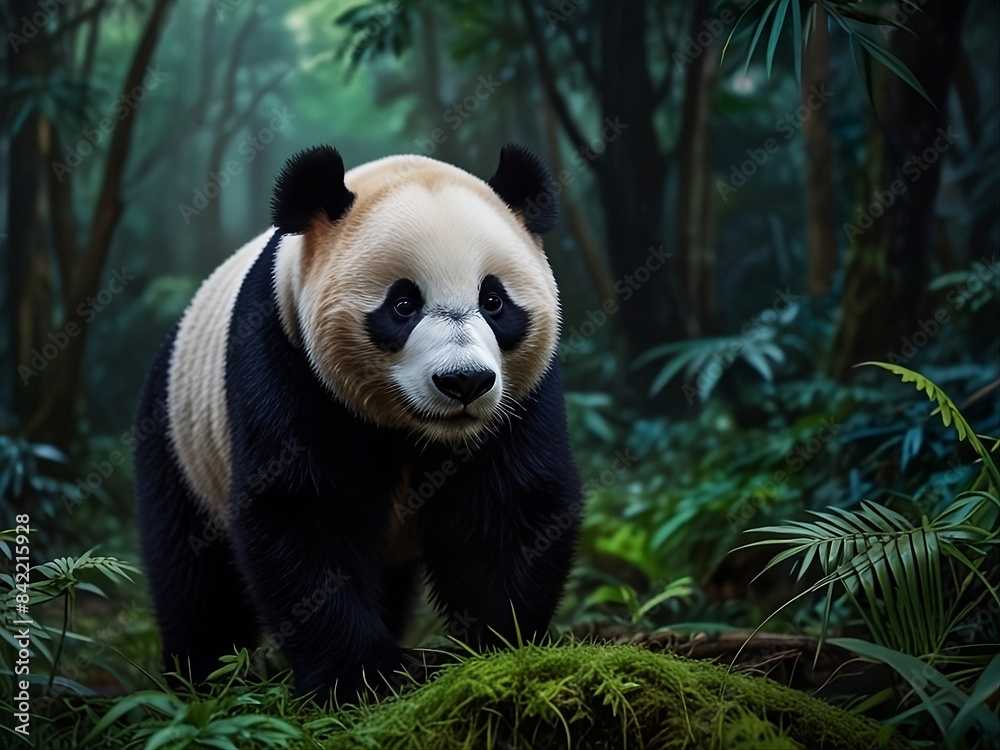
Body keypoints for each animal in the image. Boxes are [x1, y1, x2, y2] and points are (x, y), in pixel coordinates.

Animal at [133, 144, 582, 701]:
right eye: (403, 304)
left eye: (493, 301)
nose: (464, 383)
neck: (418, 431)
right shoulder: (284, 358)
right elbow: (302, 512)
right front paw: (361, 676)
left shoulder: (521, 397)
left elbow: (508, 504)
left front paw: (495, 647)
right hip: (178, 439)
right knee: (192, 572)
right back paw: (197, 677)